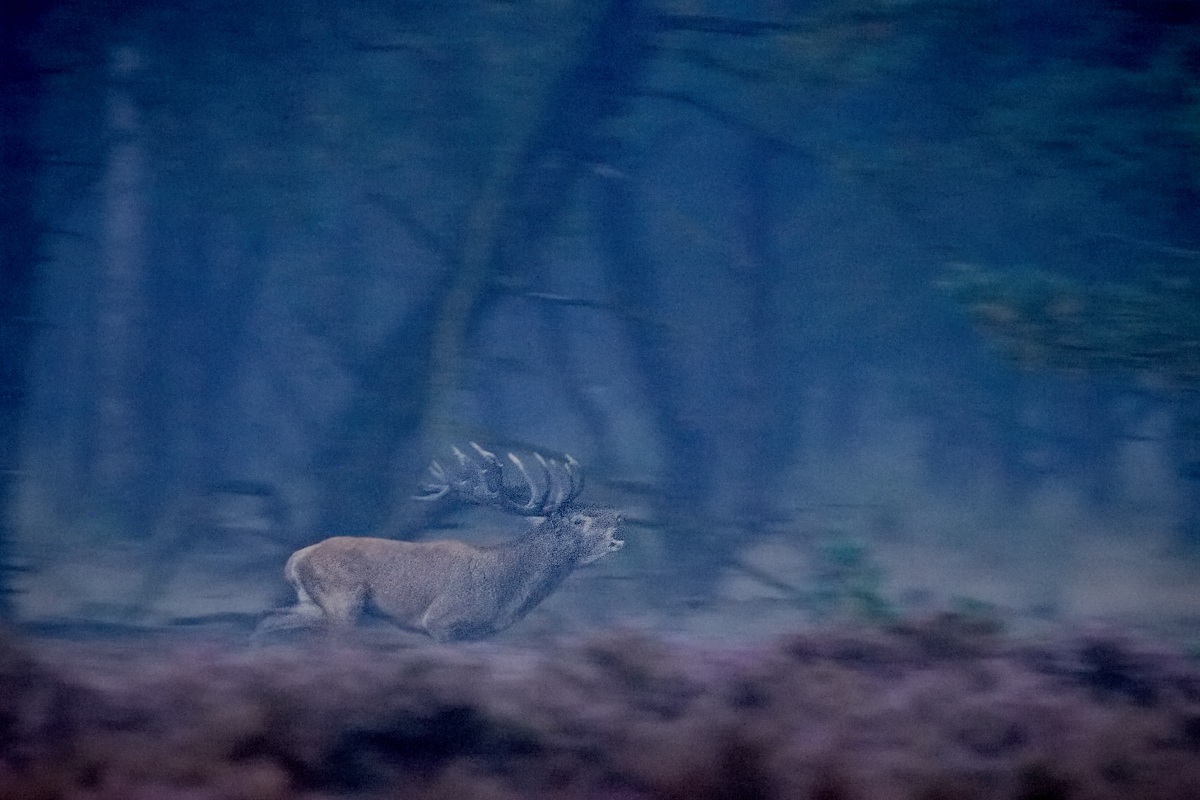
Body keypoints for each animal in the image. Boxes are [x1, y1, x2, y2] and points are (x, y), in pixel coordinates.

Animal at [254, 443, 623, 642]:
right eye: (578, 520)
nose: (619, 515)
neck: (505, 595)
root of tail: (295, 558)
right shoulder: (443, 622)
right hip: (341, 599)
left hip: (313, 603)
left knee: (266, 623)